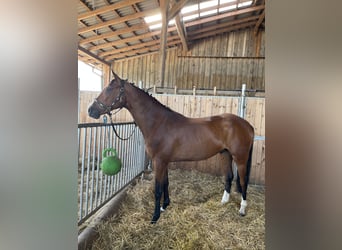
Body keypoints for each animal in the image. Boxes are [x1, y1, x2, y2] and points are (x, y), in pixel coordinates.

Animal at [87, 72, 254, 223]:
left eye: (109, 89)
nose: (91, 110)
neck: (159, 123)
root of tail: (248, 125)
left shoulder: (159, 161)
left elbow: (158, 189)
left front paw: (155, 217)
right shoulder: (164, 161)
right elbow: (166, 183)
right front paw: (164, 206)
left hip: (240, 158)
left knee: (243, 180)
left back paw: (242, 209)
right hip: (225, 154)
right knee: (229, 177)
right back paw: (224, 201)